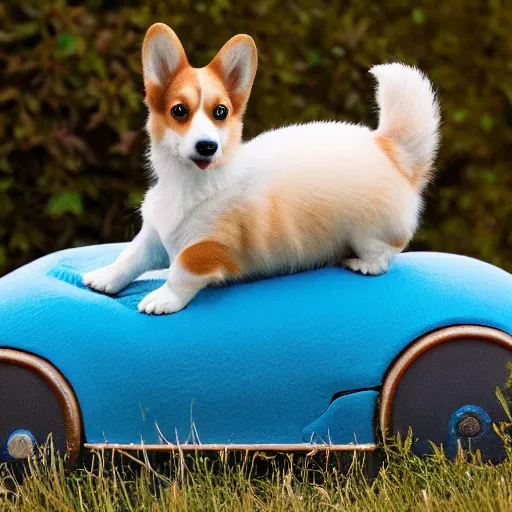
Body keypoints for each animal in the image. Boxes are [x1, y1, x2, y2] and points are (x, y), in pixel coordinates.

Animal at [83, 23, 440, 316]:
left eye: (221, 112)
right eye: (179, 111)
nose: (207, 146)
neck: (188, 183)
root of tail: (392, 151)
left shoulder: (208, 247)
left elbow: (181, 270)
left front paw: (162, 299)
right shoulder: (154, 236)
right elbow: (130, 256)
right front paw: (104, 277)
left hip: (368, 232)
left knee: (387, 252)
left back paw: (364, 264)